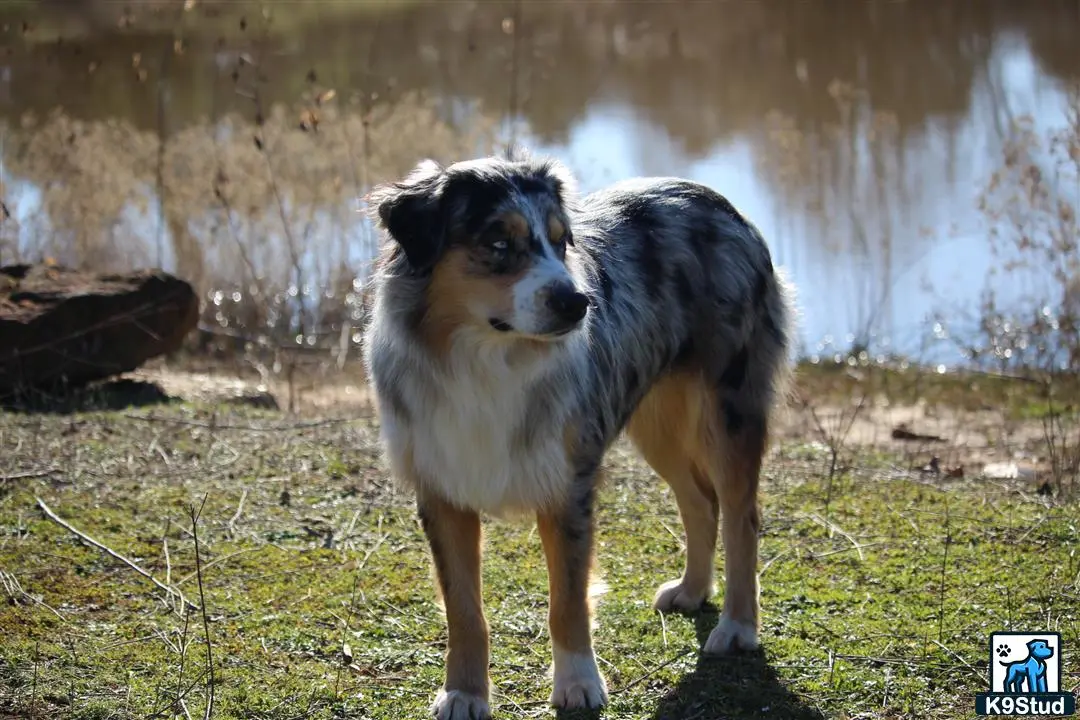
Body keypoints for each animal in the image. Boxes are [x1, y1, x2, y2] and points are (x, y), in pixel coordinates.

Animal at [362, 155, 794, 716]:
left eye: (559, 240)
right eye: (498, 242)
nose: (578, 303)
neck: (484, 360)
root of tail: (720, 202)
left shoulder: (568, 484)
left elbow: (567, 599)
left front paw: (578, 684)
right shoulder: (441, 488)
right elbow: (464, 609)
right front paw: (464, 692)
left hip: (728, 409)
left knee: (743, 515)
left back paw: (738, 627)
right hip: (656, 422)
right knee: (700, 501)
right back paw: (693, 590)